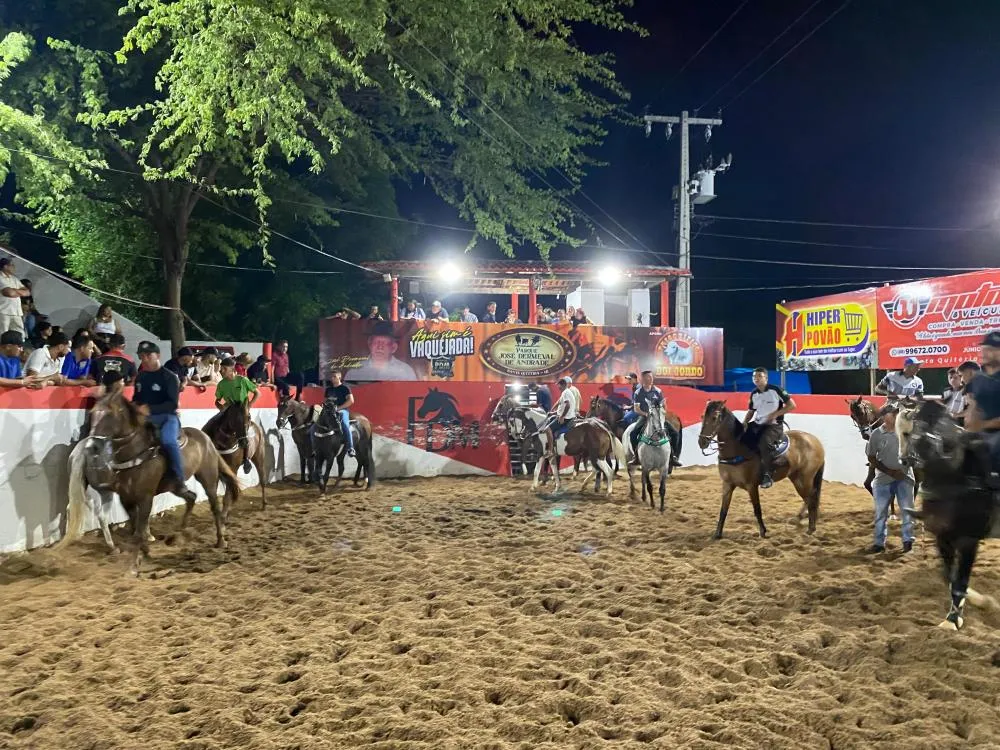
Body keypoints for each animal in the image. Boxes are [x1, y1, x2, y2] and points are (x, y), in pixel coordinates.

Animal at [61, 390, 240, 580]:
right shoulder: (126, 498)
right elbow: (135, 528)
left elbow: (139, 529)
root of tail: (205, 438)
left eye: (109, 414)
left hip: (208, 477)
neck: (135, 453)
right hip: (171, 486)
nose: (91, 445)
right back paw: (181, 532)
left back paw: (220, 540)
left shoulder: (145, 498)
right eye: (93, 413)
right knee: (191, 497)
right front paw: (144, 553)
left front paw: (134, 564)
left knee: (214, 506)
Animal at [700, 402, 824, 536]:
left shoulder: (751, 486)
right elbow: (723, 510)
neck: (737, 449)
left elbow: (757, 509)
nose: (702, 441)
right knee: (809, 498)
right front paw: (717, 534)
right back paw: (801, 519)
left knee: (811, 499)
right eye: (702, 417)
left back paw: (811, 527)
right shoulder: (727, 484)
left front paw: (763, 531)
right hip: (796, 477)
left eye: (714, 418)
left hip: (804, 479)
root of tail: (815, 440)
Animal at [900, 402, 1000, 632]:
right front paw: (976, 602)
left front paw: (953, 620)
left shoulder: (968, 540)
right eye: (914, 425)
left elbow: (960, 582)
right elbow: (949, 578)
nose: (910, 457)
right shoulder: (942, 537)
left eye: (941, 426)